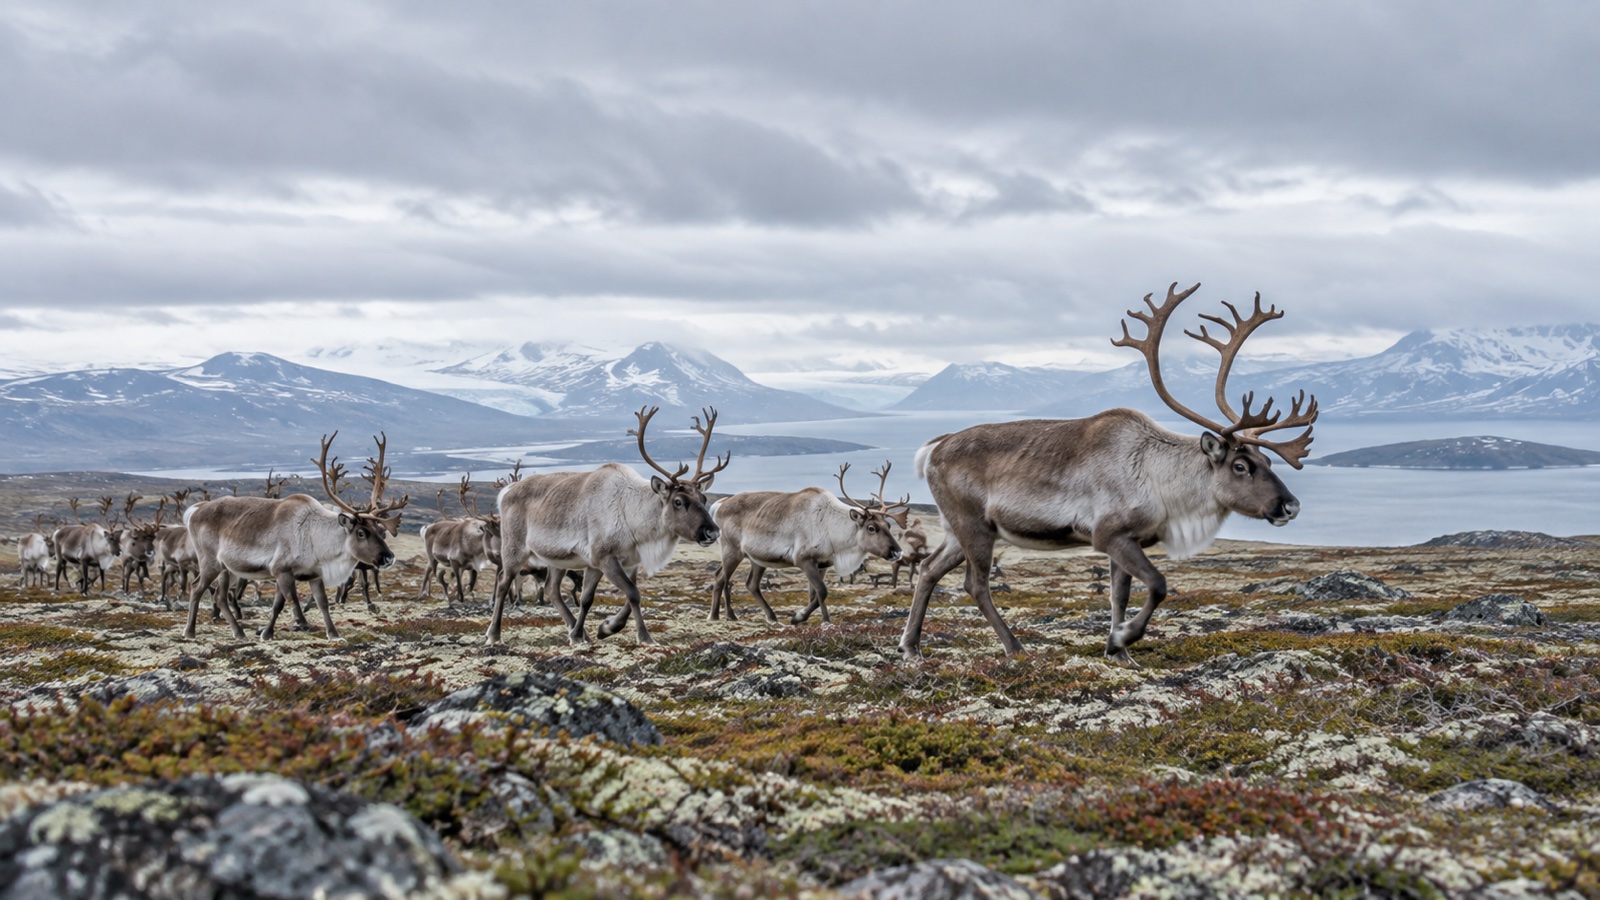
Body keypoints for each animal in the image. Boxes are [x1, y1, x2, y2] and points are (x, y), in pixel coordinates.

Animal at [182, 432, 408, 640]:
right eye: (361, 532)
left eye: (380, 529)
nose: (388, 557)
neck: (317, 540)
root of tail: (195, 511)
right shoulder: (281, 570)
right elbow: (287, 602)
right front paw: (292, 625)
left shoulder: (314, 575)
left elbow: (320, 603)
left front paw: (333, 634)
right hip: (210, 561)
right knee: (197, 587)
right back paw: (190, 631)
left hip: (226, 568)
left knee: (220, 596)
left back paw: (239, 633)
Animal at [487, 406, 729, 646]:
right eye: (678, 501)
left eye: (703, 498)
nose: (712, 531)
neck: (632, 515)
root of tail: (506, 491)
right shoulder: (604, 557)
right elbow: (632, 593)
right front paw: (644, 637)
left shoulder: (621, 562)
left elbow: (595, 598)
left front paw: (597, 630)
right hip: (514, 547)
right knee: (503, 581)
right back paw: (493, 634)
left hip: (557, 558)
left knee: (551, 589)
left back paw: (575, 630)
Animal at [710, 461, 907, 624]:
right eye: (871, 528)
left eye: (889, 525)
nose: (897, 552)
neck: (832, 529)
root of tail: (719, 504)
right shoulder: (804, 559)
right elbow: (822, 591)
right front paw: (805, 618)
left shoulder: (823, 564)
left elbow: (815, 595)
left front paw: (813, 618)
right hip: (732, 550)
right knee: (720, 578)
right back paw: (715, 616)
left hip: (757, 558)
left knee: (751, 584)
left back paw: (770, 617)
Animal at [901, 282, 1318, 666]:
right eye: (1240, 465)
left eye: (1269, 462)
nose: (1291, 506)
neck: (1161, 482)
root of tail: (934, 447)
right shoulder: (1109, 533)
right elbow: (1159, 584)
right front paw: (1124, 637)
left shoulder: (1127, 540)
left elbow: (1121, 594)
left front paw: (1118, 651)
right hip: (973, 524)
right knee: (975, 584)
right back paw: (1015, 648)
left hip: (957, 529)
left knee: (929, 568)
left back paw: (911, 646)